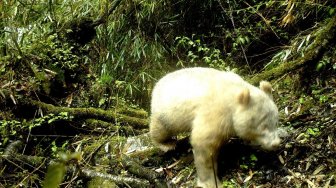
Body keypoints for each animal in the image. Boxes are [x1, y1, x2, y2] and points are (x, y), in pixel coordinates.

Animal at [149, 67, 280, 187]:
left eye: (275, 122)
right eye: (263, 126)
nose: (276, 143)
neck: (234, 94)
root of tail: (157, 83)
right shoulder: (216, 112)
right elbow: (204, 144)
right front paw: (210, 182)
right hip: (166, 111)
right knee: (161, 128)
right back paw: (167, 144)